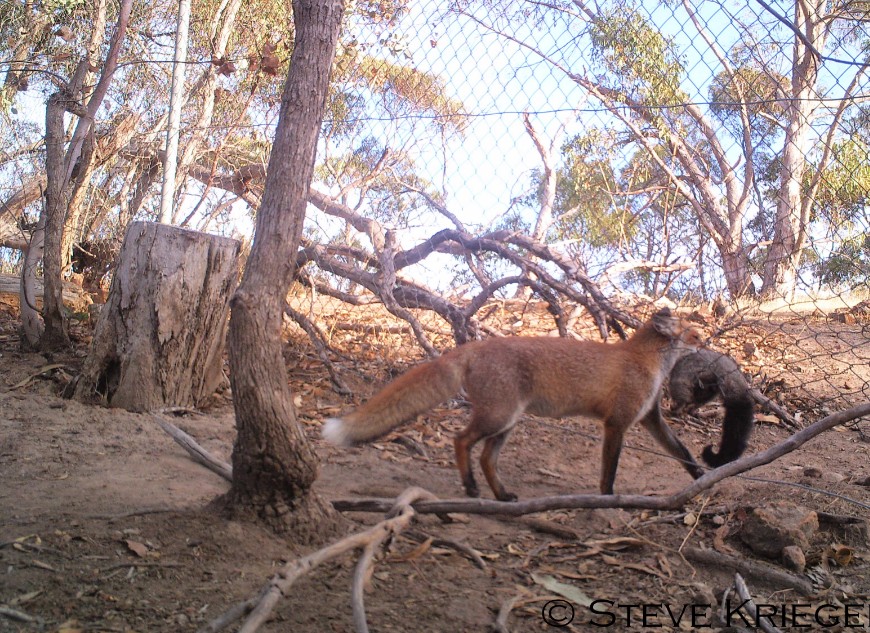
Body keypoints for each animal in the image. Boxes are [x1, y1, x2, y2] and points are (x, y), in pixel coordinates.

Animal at [324, 308, 704, 498]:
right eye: (695, 334)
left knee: (486, 458)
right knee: (461, 441)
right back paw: (471, 487)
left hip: (507, 422)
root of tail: (475, 345)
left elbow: (682, 451)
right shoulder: (617, 423)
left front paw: (702, 477)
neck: (645, 362)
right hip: (498, 416)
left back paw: (501, 494)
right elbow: (608, 472)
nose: (710, 343)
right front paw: (607, 499)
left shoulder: (650, 419)